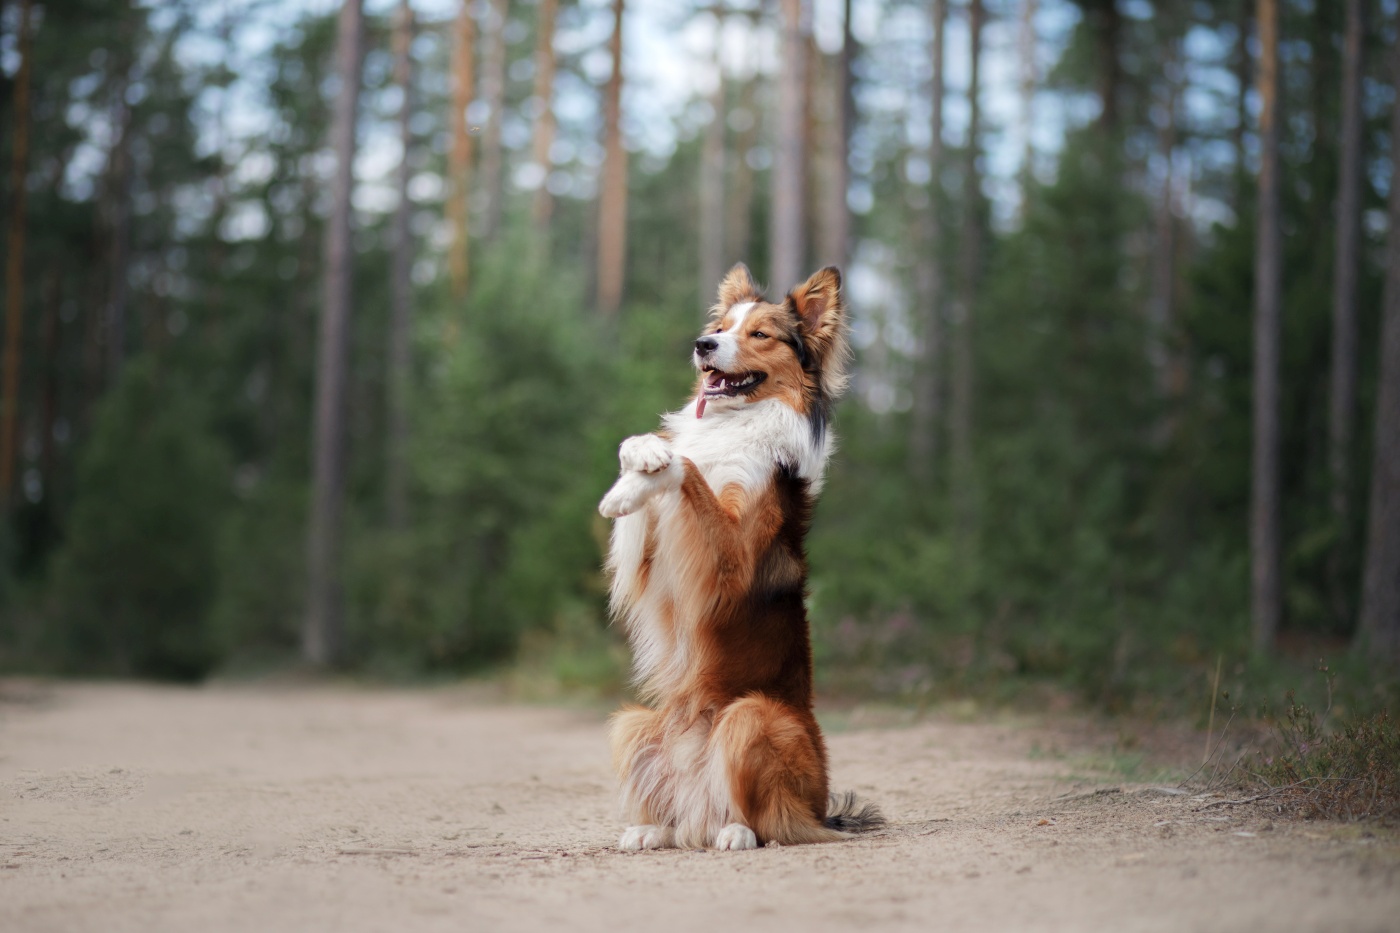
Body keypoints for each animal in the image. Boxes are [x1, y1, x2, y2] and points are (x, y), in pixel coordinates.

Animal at [593, 261, 879, 851]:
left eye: (760, 334)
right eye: (721, 327)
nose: (703, 345)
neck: (737, 422)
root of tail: (822, 810)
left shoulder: (728, 565)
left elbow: (686, 467)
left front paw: (661, 461)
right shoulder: (649, 561)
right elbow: (650, 461)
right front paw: (630, 475)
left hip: (752, 717)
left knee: (772, 821)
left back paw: (736, 833)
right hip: (633, 723)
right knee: (680, 818)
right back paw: (651, 830)